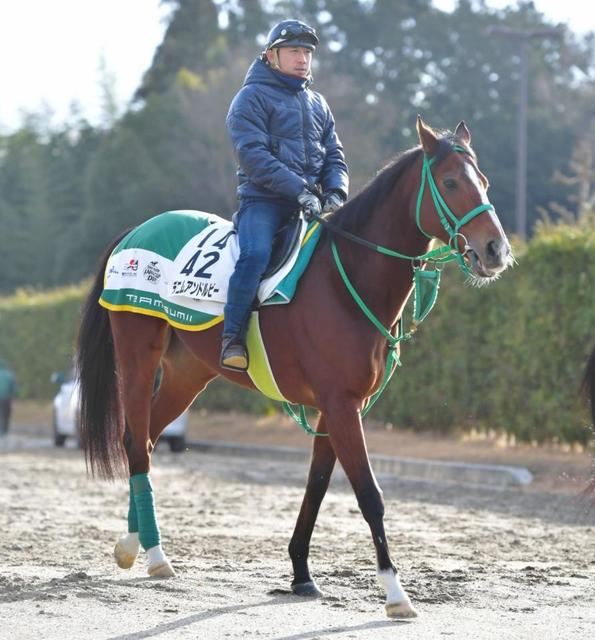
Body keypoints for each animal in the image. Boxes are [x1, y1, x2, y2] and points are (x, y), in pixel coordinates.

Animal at [75, 117, 512, 616]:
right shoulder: (341, 406)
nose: (496, 249)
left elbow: (317, 486)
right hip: (137, 357)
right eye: (451, 182)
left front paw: (301, 573)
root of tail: (135, 233)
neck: (345, 278)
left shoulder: (334, 409)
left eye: (484, 181)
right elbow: (369, 494)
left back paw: (135, 543)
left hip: (187, 375)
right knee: (133, 440)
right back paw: (153, 553)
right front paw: (395, 592)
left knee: (145, 440)